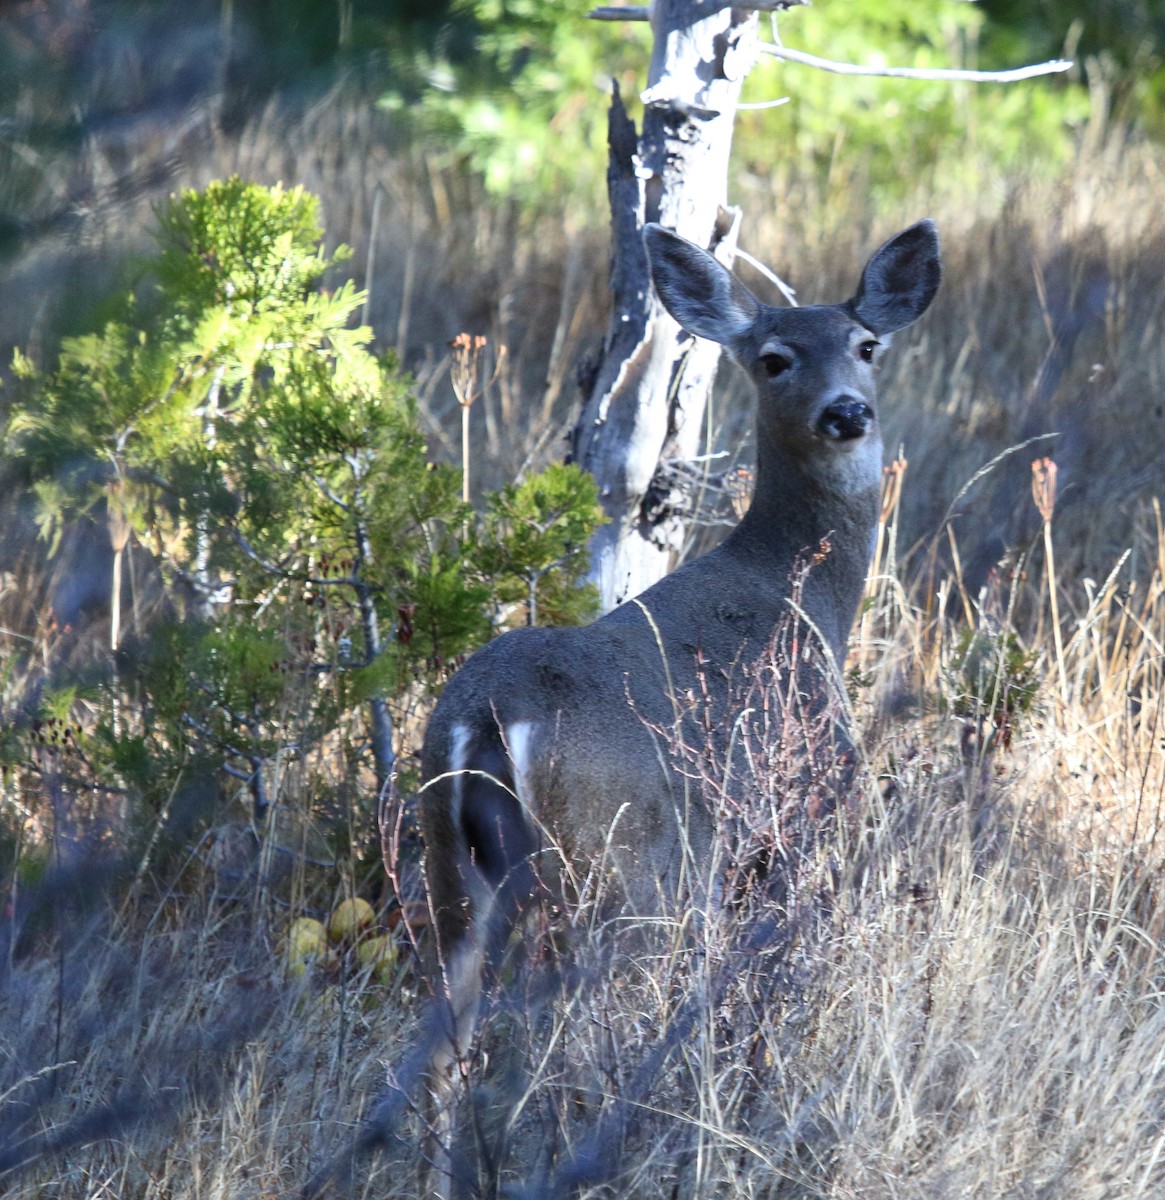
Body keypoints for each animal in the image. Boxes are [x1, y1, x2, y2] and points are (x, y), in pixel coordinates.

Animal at [416, 217, 941, 1068]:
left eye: (866, 345)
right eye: (774, 358)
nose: (846, 412)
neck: (798, 588)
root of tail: (486, 718)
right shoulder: (803, 796)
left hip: (449, 864)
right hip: (629, 862)